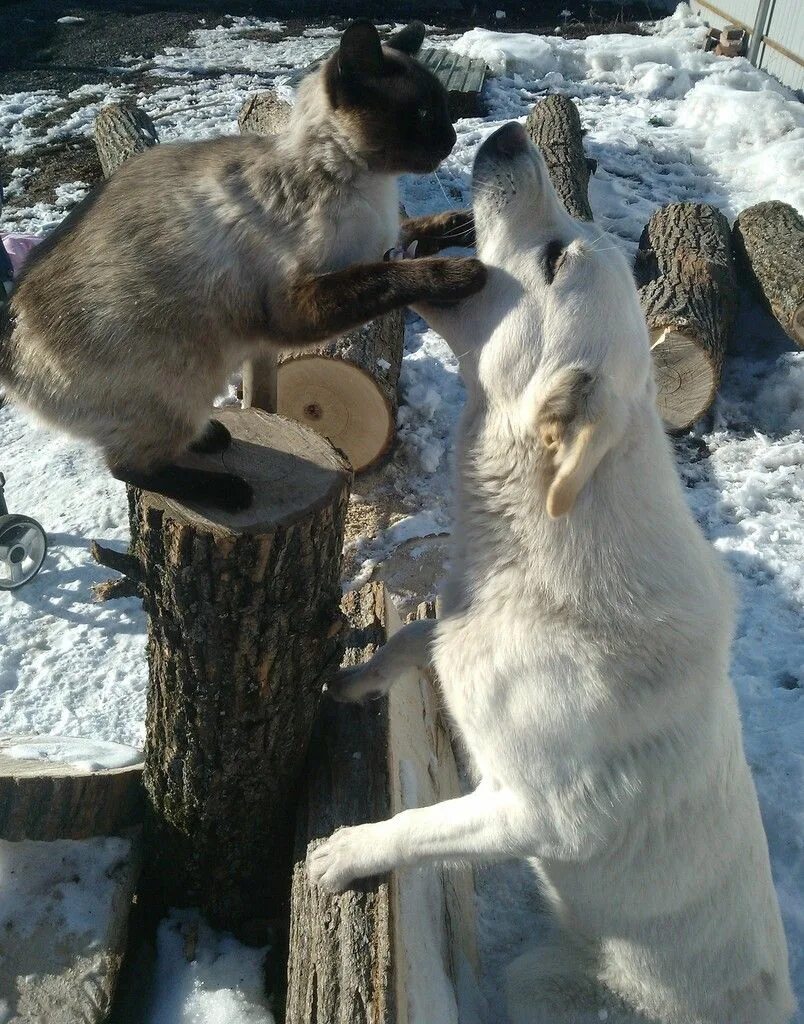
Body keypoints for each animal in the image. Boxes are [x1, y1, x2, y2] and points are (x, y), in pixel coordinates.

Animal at [1, 19, 483, 507]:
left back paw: (213, 436)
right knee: (129, 468)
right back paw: (227, 491)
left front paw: (467, 227)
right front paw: (465, 274)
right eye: (423, 114)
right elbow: (391, 277)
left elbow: (416, 236)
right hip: (179, 383)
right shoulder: (300, 304)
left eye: (442, 109)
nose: (452, 138)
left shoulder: (384, 246)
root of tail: (12, 331)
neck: (365, 184)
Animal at [305, 121, 794, 1024]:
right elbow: (422, 634)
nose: (504, 133)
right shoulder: (459, 627)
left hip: (543, 981)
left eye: (556, 258)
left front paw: (347, 852)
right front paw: (356, 679)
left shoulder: (529, 812)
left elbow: (420, 826)